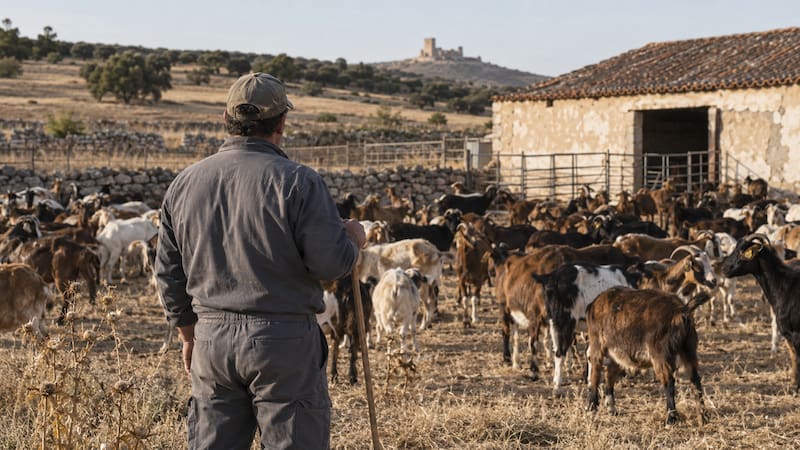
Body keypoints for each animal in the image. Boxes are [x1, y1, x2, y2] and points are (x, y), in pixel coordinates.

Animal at [586, 287, 709, 424]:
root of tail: (681, 310)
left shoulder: (597, 345)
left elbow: (595, 376)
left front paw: (591, 408)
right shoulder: (616, 356)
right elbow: (609, 377)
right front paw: (611, 409)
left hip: (660, 355)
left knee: (669, 382)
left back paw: (670, 418)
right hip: (688, 349)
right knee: (695, 379)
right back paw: (703, 416)